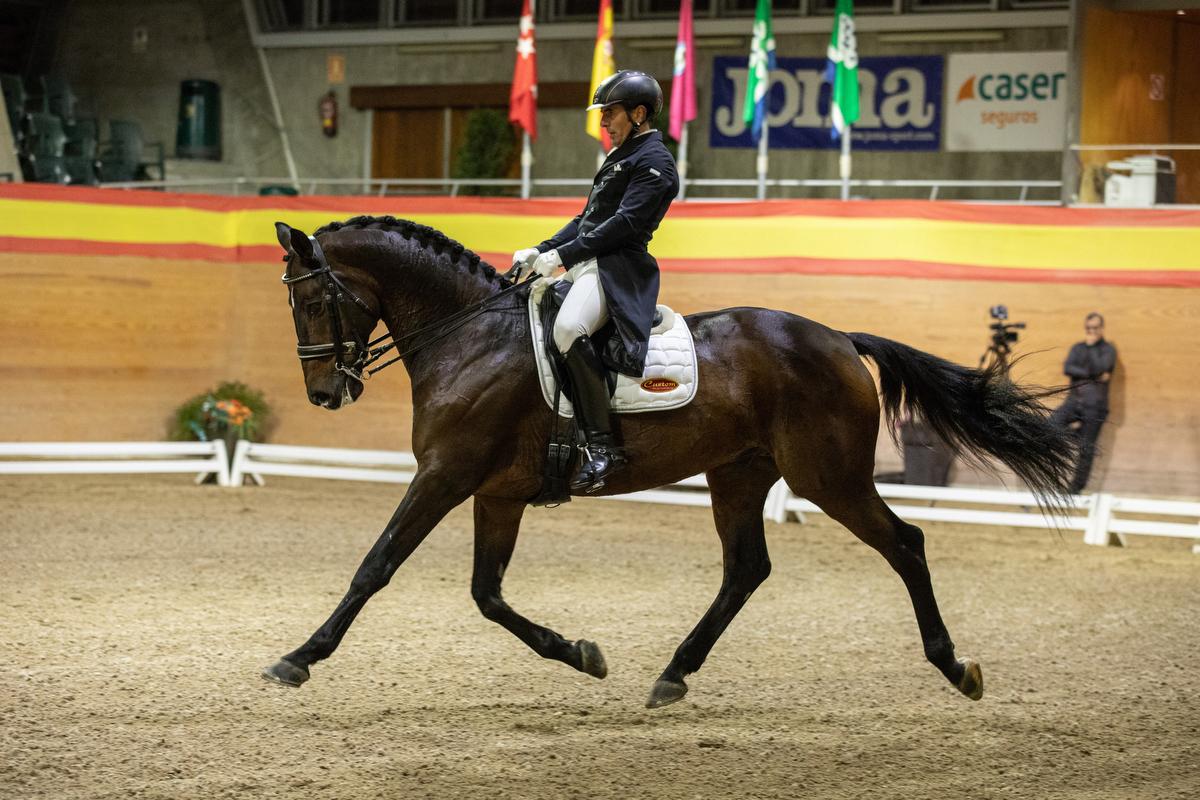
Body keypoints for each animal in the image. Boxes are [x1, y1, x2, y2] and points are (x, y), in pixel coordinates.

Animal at [265, 214, 1080, 705]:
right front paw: (582, 653)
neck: (469, 338)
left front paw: (298, 657)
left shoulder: (445, 476)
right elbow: (487, 595)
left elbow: (376, 566)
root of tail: (840, 339)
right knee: (747, 568)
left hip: (828, 475)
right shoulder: (495, 492)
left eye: (314, 301)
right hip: (740, 472)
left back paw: (956, 667)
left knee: (904, 544)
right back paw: (672, 674)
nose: (323, 393)